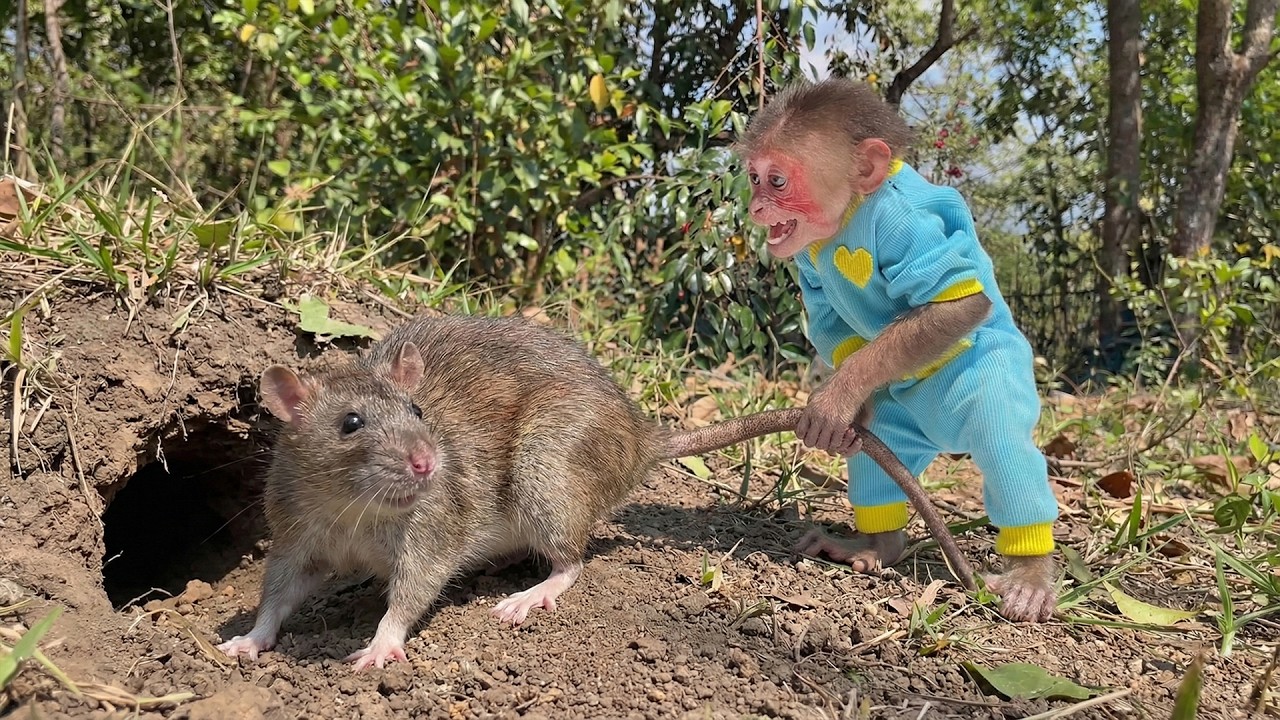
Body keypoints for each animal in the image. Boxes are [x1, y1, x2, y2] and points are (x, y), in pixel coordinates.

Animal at [732, 77, 1060, 623]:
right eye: (754, 179)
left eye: (776, 182)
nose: (756, 207)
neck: (849, 216)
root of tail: (941, 434)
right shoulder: (809, 262)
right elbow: (833, 324)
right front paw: (848, 408)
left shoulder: (904, 223)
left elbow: (958, 301)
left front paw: (835, 400)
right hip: (898, 429)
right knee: (877, 460)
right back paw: (876, 545)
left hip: (988, 378)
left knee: (1001, 443)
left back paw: (1029, 574)